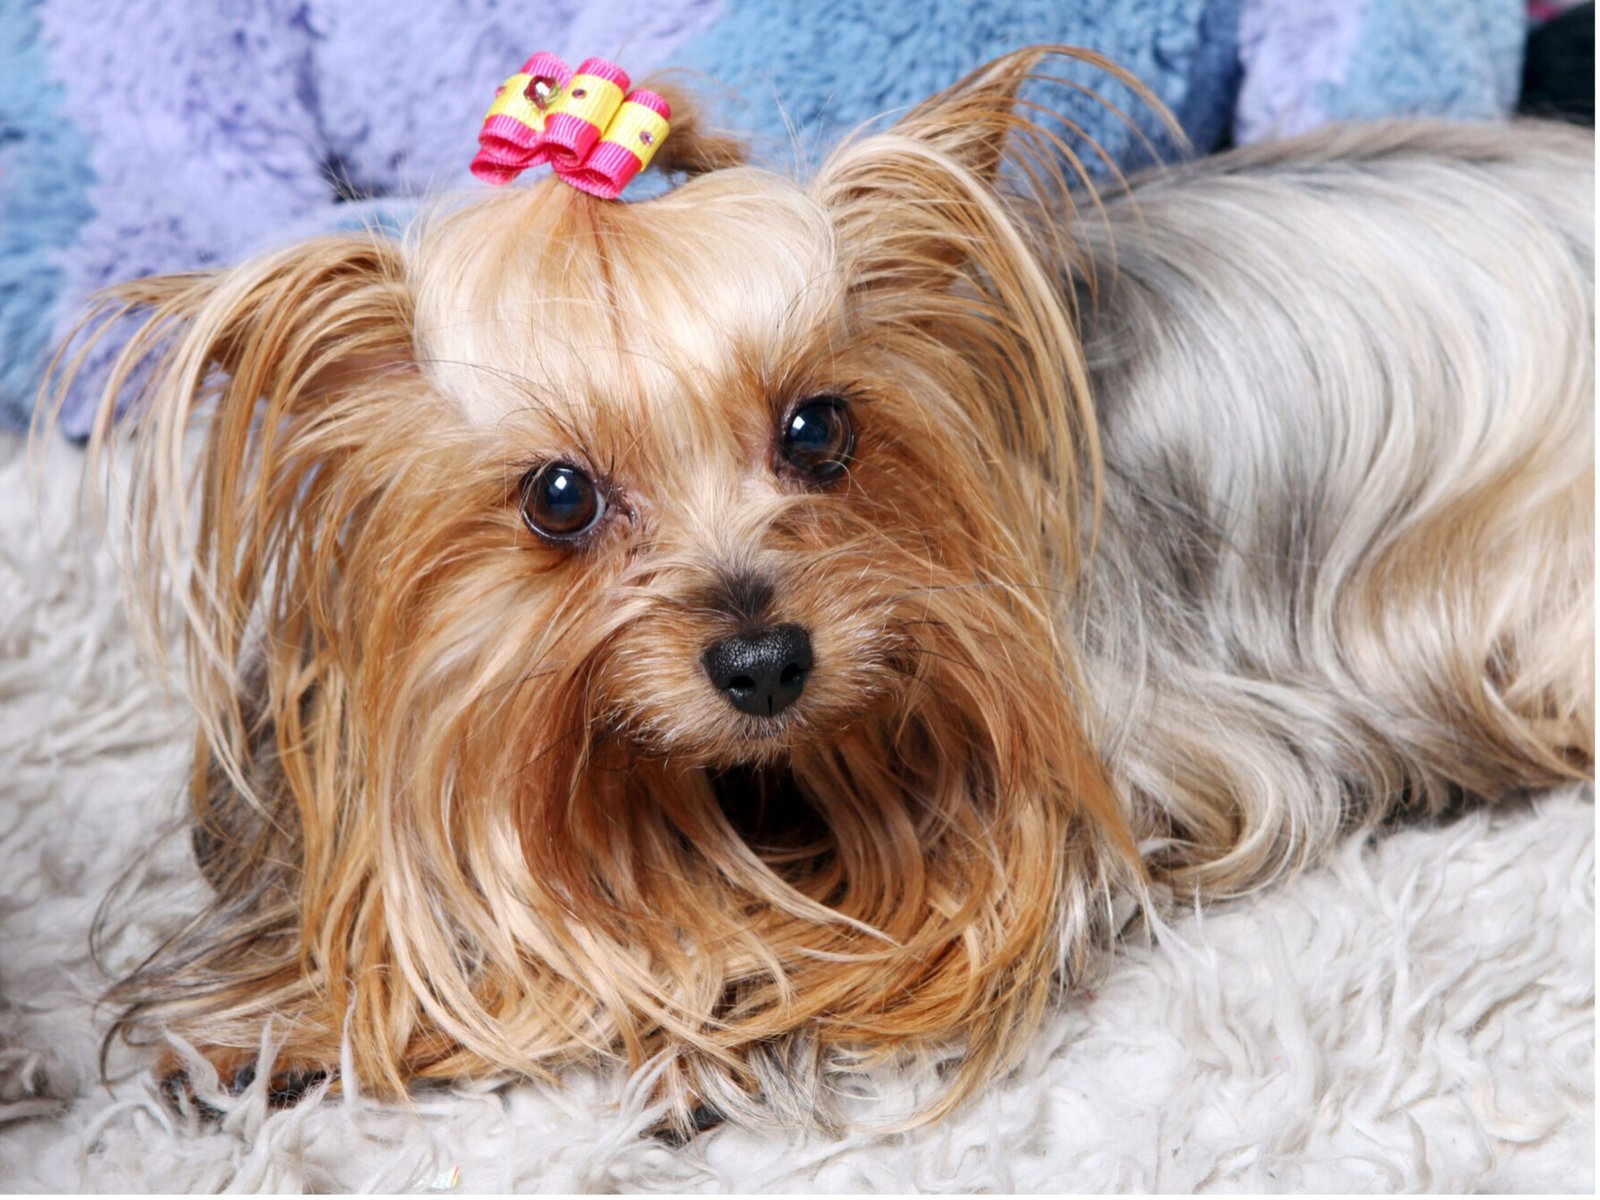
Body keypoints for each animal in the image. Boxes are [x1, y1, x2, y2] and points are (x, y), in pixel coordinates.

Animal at [56, 47, 1593, 1139]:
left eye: (818, 429)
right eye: (558, 496)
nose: (764, 664)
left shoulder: (1108, 772)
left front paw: (701, 1028)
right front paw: (275, 1023)